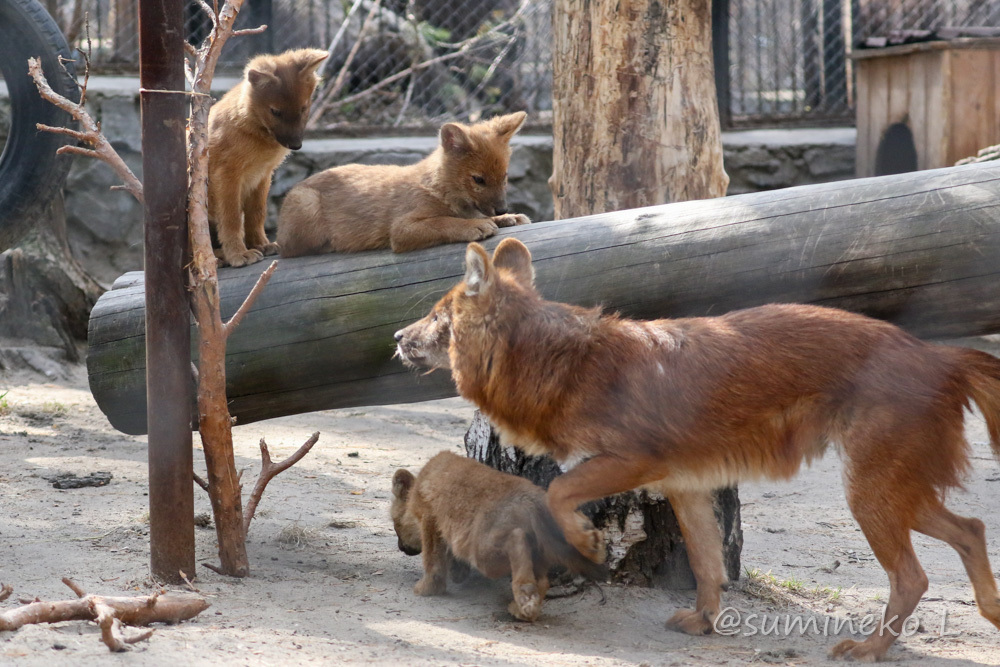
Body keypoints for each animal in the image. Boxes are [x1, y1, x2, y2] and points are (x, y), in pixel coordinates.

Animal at [208, 47, 328, 266]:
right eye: (275, 111)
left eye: (303, 108)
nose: (296, 146)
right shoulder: (227, 177)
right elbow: (232, 218)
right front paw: (239, 254)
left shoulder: (262, 176)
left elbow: (257, 213)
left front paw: (260, 244)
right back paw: (218, 258)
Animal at [274, 112, 532, 256]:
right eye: (478, 179)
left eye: (505, 176)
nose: (502, 208)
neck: (440, 189)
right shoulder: (401, 229)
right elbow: (442, 222)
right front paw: (475, 226)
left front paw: (508, 217)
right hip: (307, 204)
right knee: (288, 249)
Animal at [390, 452, 608, 624]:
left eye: (395, 525)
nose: (401, 547)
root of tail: (533, 498)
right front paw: (456, 573)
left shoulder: (429, 518)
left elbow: (432, 560)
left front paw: (427, 588)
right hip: (539, 551)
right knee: (543, 580)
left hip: (484, 555)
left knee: (517, 541)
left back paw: (524, 599)